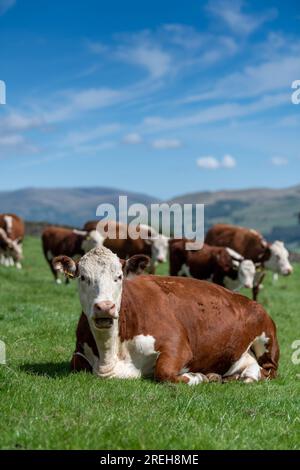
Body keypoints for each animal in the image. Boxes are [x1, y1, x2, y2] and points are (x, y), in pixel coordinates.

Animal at [53, 244, 278, 384]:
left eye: (119, 276)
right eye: (83, 277)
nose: (105, 307)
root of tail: (249, 300)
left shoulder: (177, 345)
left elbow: (164, 372)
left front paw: (198, 377)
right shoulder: (79, 351)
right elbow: (76, 363)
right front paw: (208, 376)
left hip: (266, 340)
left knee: (268, 370)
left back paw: (247, 376)